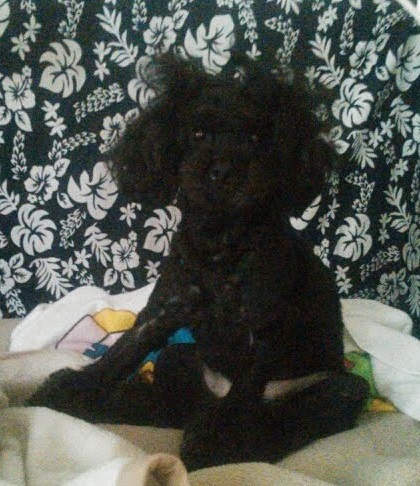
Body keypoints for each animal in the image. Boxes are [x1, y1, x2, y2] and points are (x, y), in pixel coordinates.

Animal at [28, 55, 369, 471]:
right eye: (198, 134)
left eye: (256, 139)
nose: (222, 172)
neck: (219, 244)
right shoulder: (166, 308)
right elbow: (122, 352)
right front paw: (74, 387)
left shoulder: (263, 328)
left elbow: (244, 391)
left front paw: (218, 437)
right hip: (179, 357)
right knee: (170, 407)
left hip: (343, 388)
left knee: (282, 420)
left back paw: (231, 442)